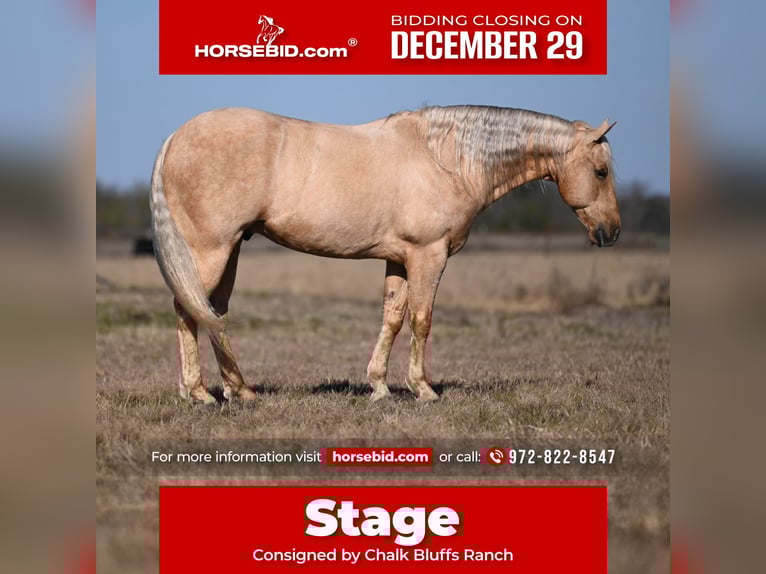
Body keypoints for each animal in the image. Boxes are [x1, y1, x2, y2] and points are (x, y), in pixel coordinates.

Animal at [150, 105, 620, 405]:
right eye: (601, 171)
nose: (611, 232)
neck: (445, 160)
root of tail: (174, 137)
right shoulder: (429, 255)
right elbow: (421, 319)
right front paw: (423, 389)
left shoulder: (399, 259)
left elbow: (392, 317)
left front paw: (379, 386)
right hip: (211, 250)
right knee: (188, 308)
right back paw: (198, 392)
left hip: (229, 251)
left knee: (212, 311)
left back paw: (237, 389)